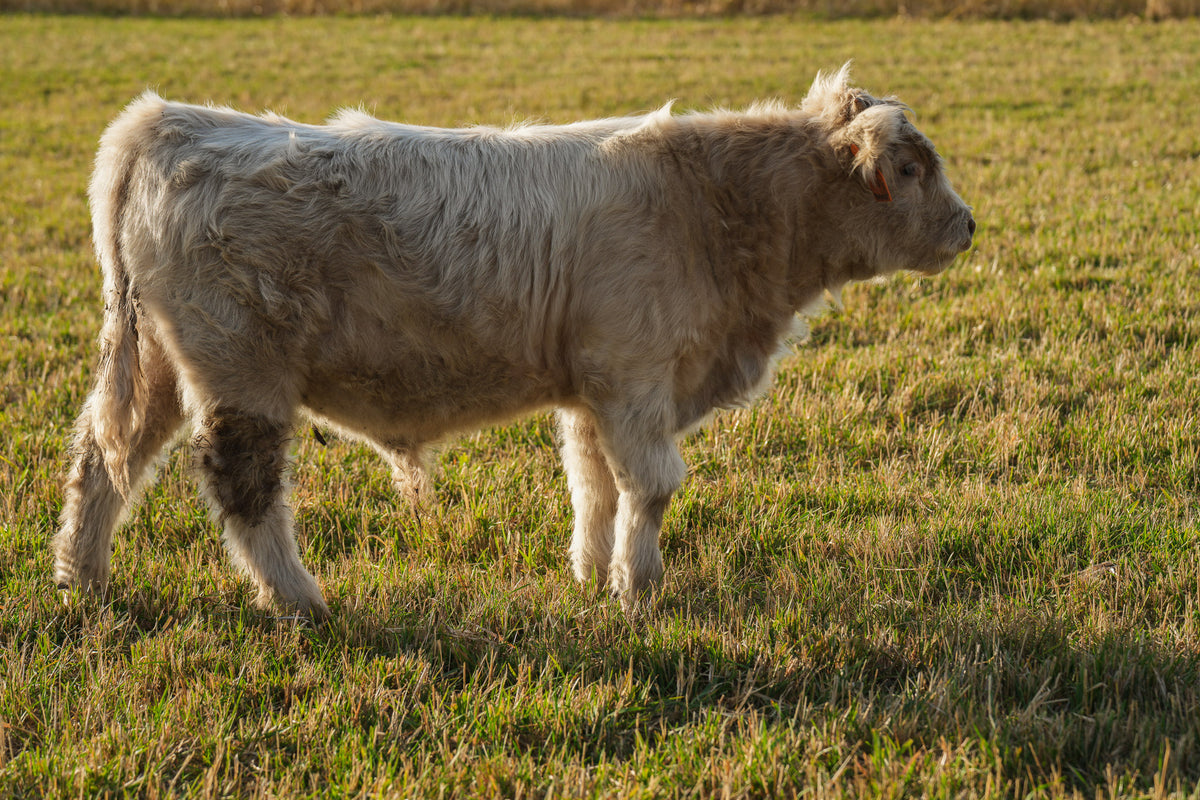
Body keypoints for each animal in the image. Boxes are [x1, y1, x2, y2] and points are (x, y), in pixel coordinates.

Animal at [54, 65, 975, 619]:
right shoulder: (636, 379)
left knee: (105, 458)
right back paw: (301, 601)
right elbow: (652, 486)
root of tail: (172, 121)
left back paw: (82, 579)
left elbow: (593, 484)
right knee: (243, 489)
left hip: (159, 365)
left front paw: (591, 574)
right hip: (241, 373)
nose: (969, 227)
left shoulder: (594, 390)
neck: (712, 204)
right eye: (914, 169)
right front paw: (640, 591)